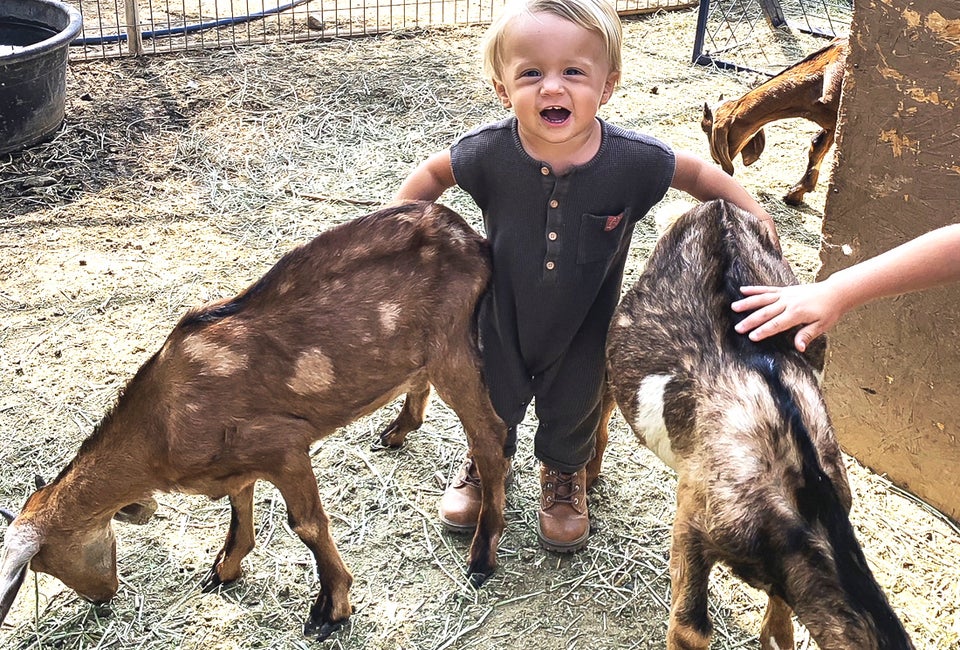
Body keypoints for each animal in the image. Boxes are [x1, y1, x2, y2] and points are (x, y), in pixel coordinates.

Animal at [0, 201, 510, 640]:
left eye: (46, 564)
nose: (102, 597)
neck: (161, 425)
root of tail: (472, 239)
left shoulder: (284, 446)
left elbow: (306, 525)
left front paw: (331, 610)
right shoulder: (238, 459)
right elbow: (237, 507)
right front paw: (223, 569)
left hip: (454, 347)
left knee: (490, 436)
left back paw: (481, 557)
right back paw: (397, 431)